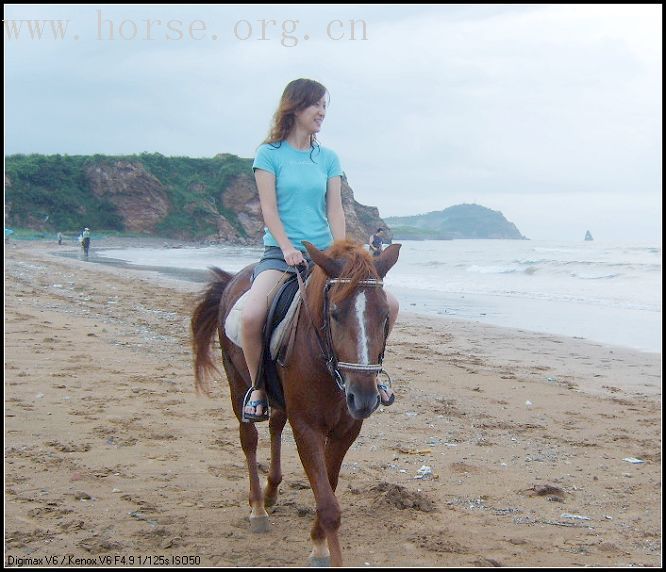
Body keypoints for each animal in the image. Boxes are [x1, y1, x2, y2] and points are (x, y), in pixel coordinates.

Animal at [192, 239, 400, 564]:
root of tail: (232, 280)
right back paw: (258, 507)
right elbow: (328, 504)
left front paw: (318, 540)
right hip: (235, 381)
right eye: (335, 313)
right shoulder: (307, 428)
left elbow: (329, 485)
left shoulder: (346, 431)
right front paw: (322, 550)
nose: (364, 398)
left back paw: (271, 491)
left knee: (276, 426)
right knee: (249, 440)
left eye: (384, 315)